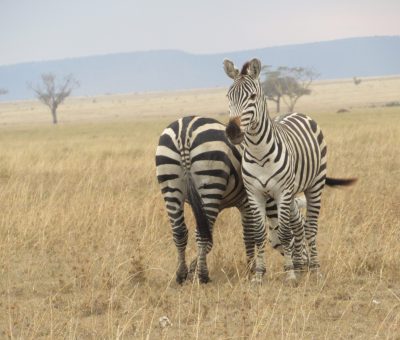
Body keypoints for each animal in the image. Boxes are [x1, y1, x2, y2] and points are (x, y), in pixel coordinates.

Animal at [223, 58, 358, 284]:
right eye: (228, 96)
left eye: (252, 97)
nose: (232, 131)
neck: (259, 153)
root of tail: (297, 112)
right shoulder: (255, 194)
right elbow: (259, 235)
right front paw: (259, 275)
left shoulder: (281, 192)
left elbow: (285, 234)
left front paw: (290, 274)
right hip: (293, 192)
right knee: (299, 225)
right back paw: (301, 266)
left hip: (314, 185)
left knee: (310, 227)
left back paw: (314, 269)